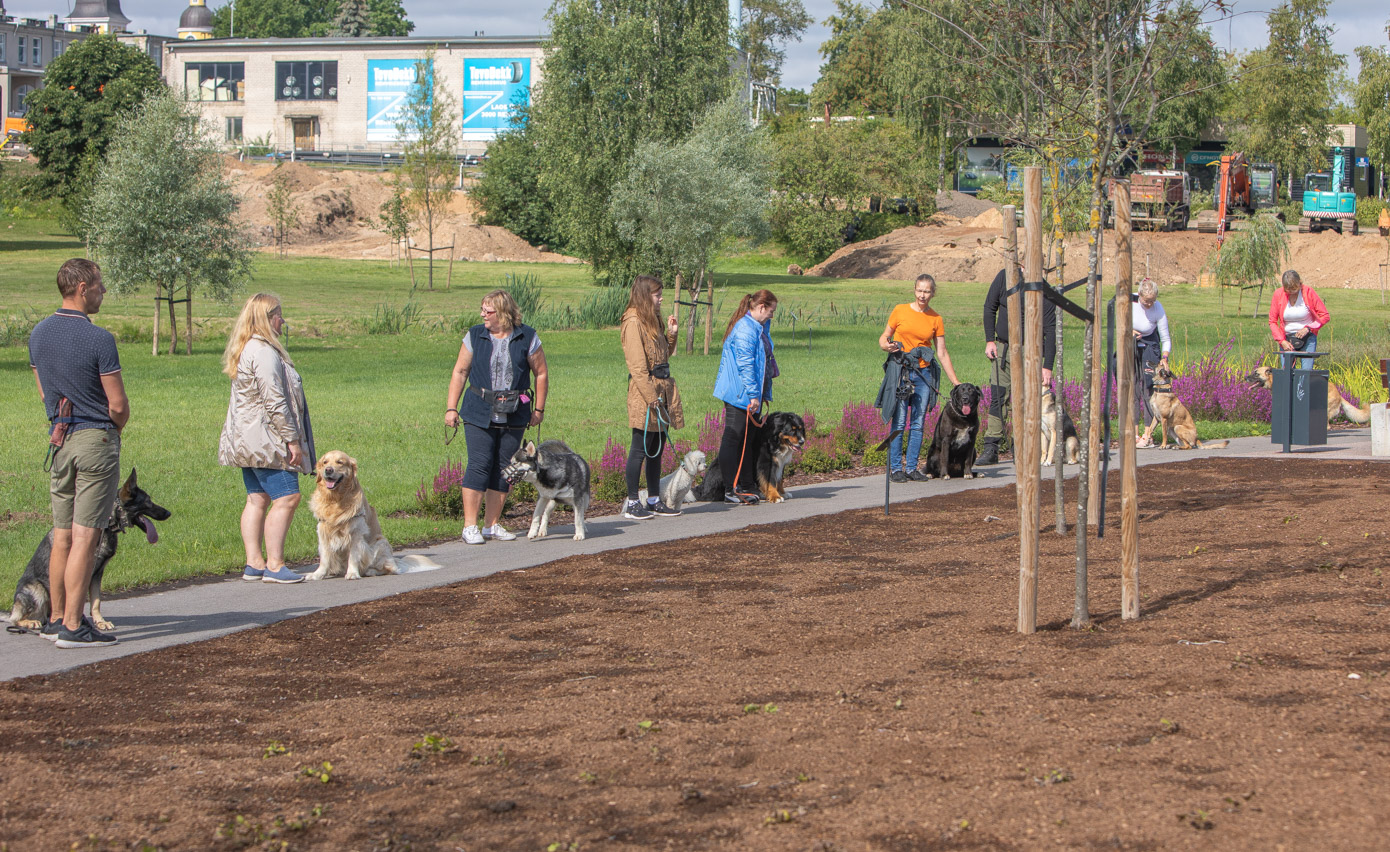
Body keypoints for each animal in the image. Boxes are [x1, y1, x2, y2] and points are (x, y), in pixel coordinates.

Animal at [6, 464, 169, 631]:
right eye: (148, 502)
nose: (168, 513)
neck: (107, 525)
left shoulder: (97, 574)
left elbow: (96, 601)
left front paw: (100, 622)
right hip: (37, 591)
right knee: (15, 619)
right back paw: (30, 622)